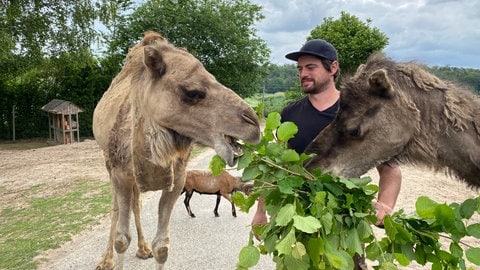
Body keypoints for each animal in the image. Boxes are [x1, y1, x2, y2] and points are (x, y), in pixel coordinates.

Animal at [92, 30, 260, 268]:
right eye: (193, 92)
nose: (253, 124)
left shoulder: (177, 180)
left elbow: (161, 247)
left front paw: (151, 249)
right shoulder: (120, 175)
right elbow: (121, 240)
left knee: (136, 204)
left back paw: (143, 249)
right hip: (109, 164)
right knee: (116, 208)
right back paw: (106, 260)